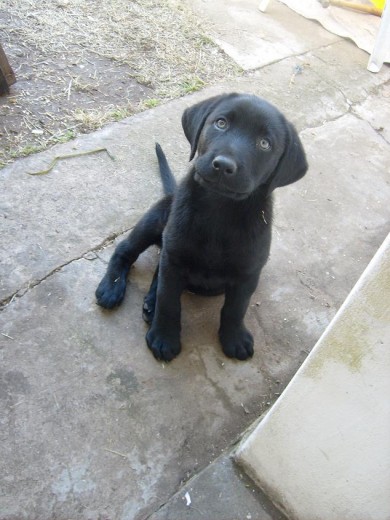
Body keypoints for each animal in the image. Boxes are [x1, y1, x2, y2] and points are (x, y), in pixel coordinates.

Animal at [95, 93, 308, 362]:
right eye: (221, 123)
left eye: (264, 144)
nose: (224, 165)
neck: (219, 209)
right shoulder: (175, 258)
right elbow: (169, 300)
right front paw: (164, 337)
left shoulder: (248, 273)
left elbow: (235, 308)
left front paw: (234, 338)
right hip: (155, 221)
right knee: (125, 250)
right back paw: (111, 288)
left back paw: (149, 304)